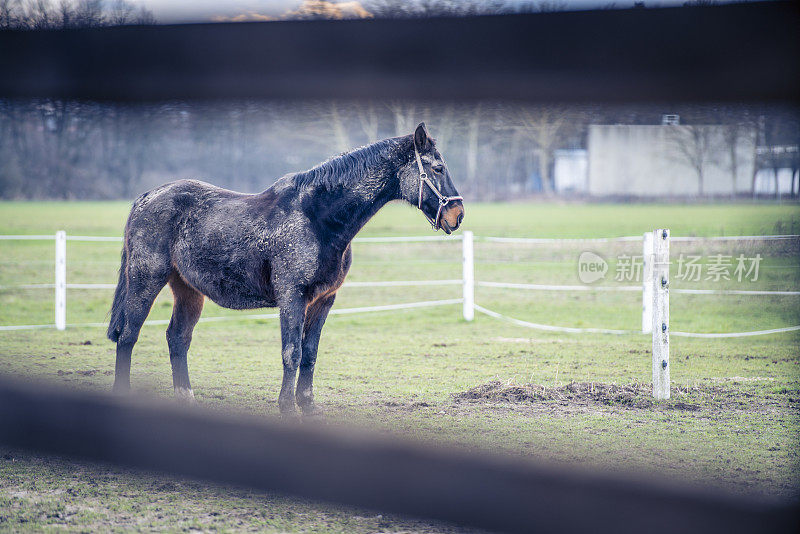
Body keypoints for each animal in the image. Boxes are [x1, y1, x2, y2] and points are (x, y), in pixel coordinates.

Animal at [109, 123, 466, 416]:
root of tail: (146, 198)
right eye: (437, 167)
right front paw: (288, 408)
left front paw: (307, 406)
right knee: (128, 336)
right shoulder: (293, 297)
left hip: (188, 290)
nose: (458, 215)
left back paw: (186, 398)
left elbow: (309, 354)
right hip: (145, 279)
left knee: (177, 339)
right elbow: (291, 353)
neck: (317, 219)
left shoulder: (323, 301)